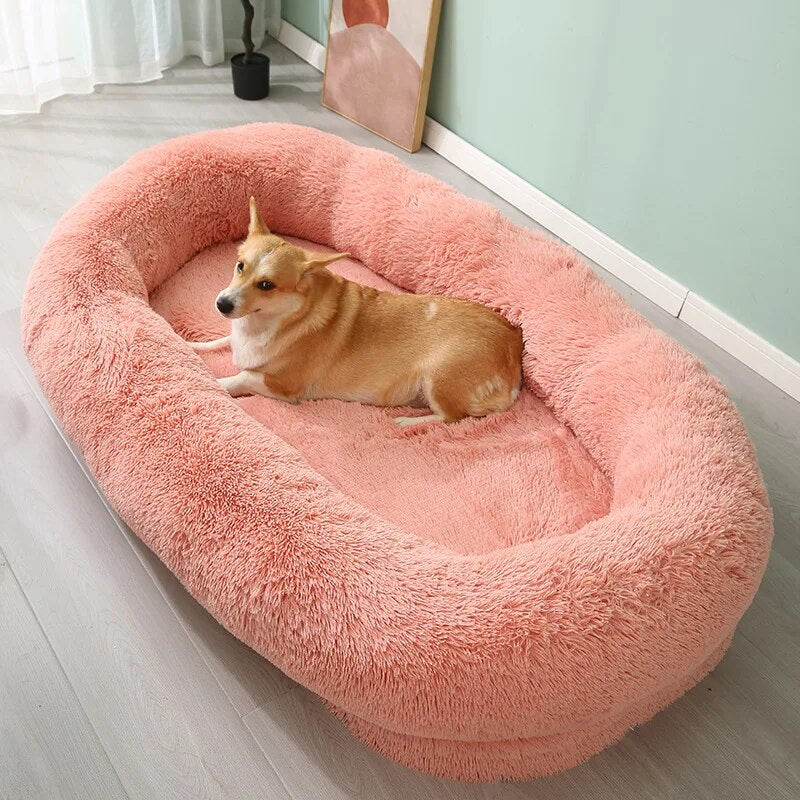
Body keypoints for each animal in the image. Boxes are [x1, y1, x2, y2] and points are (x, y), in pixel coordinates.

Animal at [189, 198, 524, 424]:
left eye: (267, 285)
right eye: (240, 266)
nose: (221, 304)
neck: (267, 323)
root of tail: (513, 344)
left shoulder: (283, 385)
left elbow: (242, 376)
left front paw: (216, 384)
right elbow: (219, 340)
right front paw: (190, 345)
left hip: (439, 377)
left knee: (452, 418)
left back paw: (407, 422)